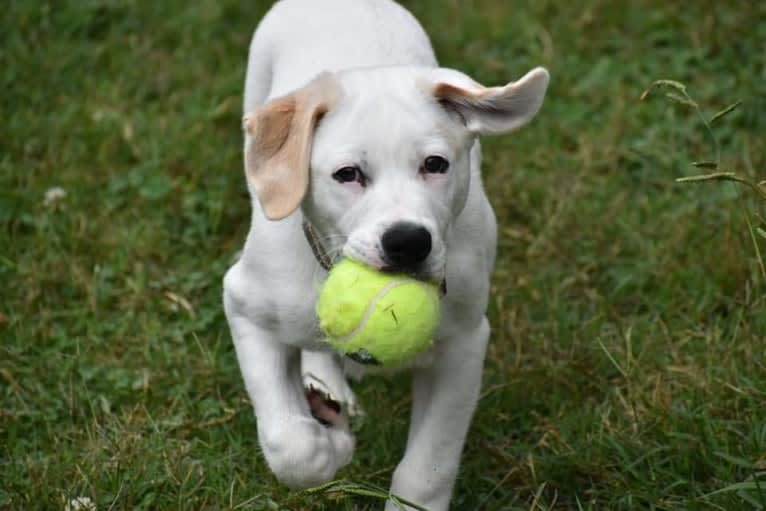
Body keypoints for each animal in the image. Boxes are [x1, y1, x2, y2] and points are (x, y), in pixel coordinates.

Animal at [224, 2, 552, 510]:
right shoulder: (243, 305)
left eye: (435, 164)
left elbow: (427, 469)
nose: (408, 242)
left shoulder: (462, 345)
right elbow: (290, 445)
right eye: (347, 174)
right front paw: (331, 445)